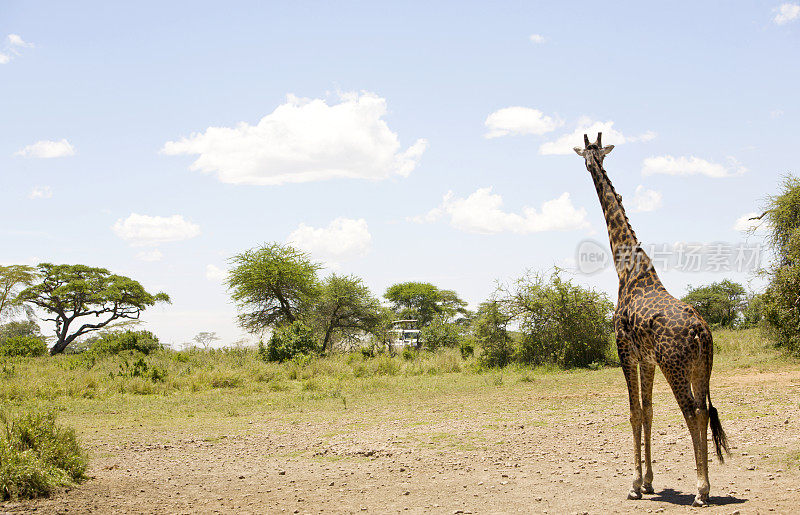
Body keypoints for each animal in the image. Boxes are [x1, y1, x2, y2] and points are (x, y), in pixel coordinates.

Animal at [572, 131, 728, 506]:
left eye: (592, 152)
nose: (591, 163)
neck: (627, 269)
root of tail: (699, 330)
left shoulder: (625, 351)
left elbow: (633, 413)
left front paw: (633, 485)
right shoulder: (647, 360)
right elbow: (649, 411)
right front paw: (648, 482)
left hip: (676, 365)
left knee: (693, 412)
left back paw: (702, 489)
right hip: (701, 367)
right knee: (705, 410)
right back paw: (703, 485)